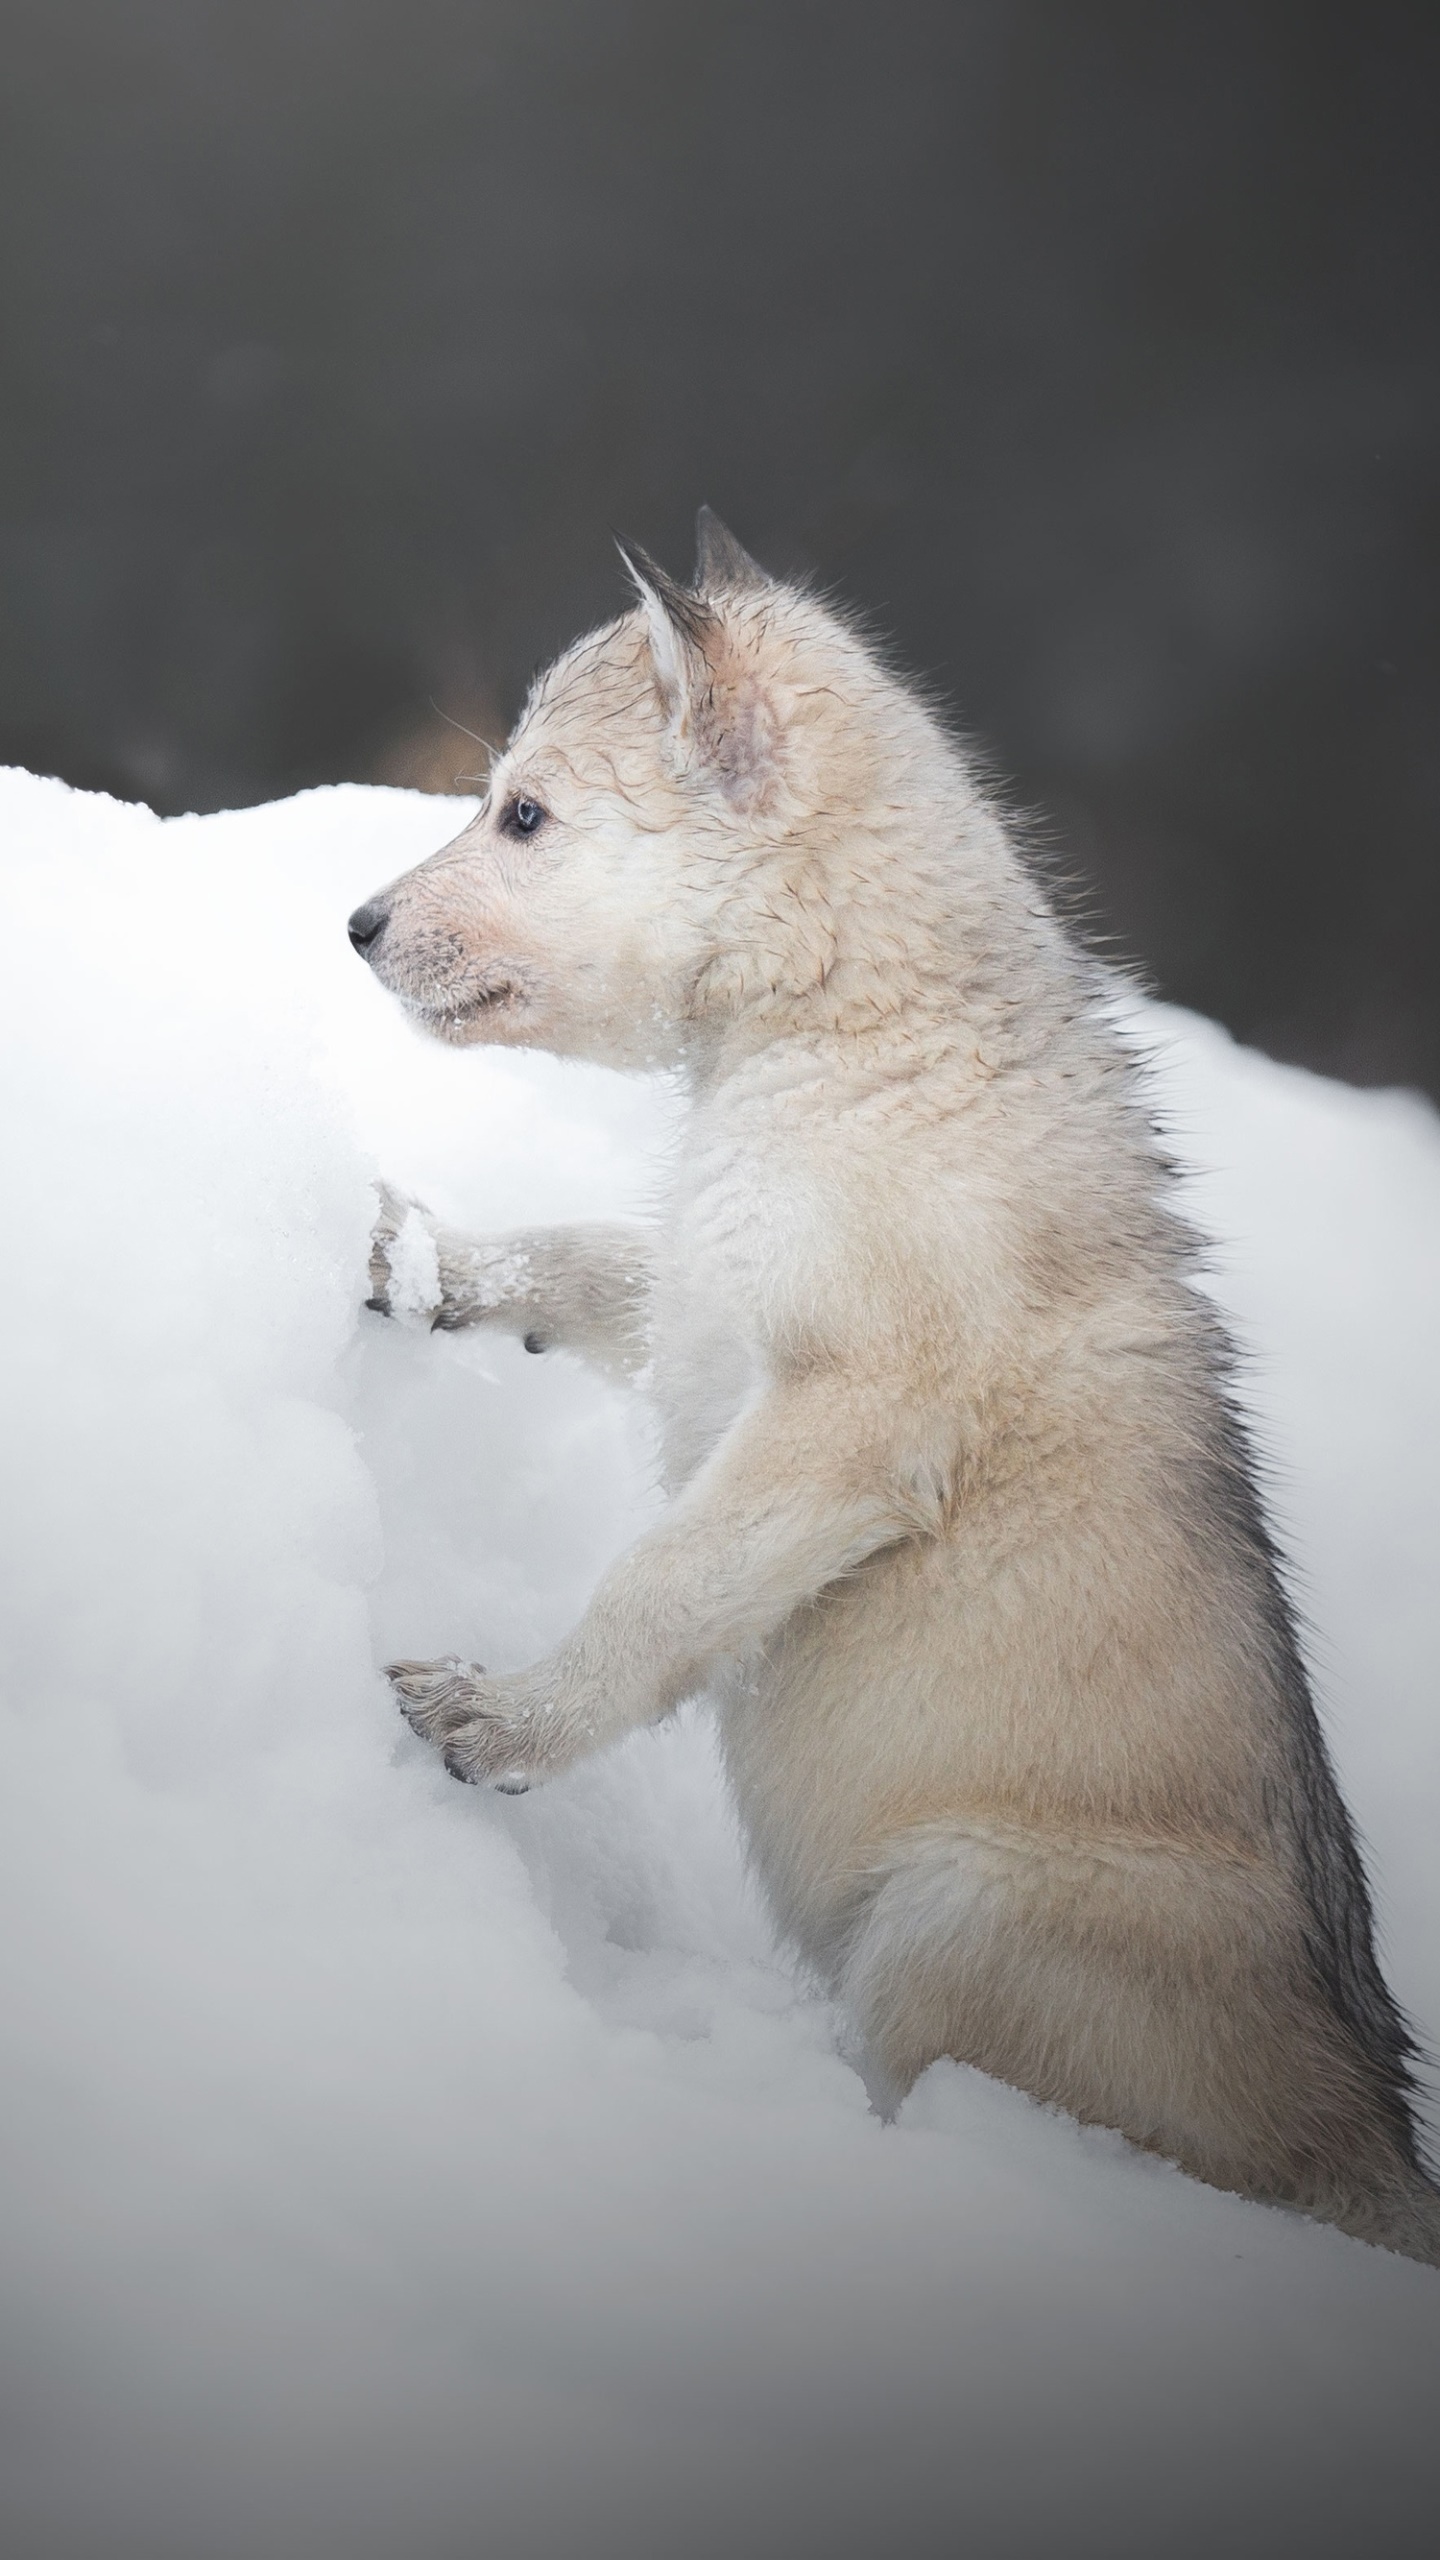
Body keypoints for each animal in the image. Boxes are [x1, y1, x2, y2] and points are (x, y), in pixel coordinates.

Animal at [348, 508, 1439, 2261]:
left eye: (524, 813)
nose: (357, 929)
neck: (853, 1024)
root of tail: (1380, 2169)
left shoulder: (842, 1422)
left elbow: (658, 1594)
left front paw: (501, 1719)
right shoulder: (706, 1302)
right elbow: (580, 1258)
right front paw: (426, 1262)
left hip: (952, 1918)